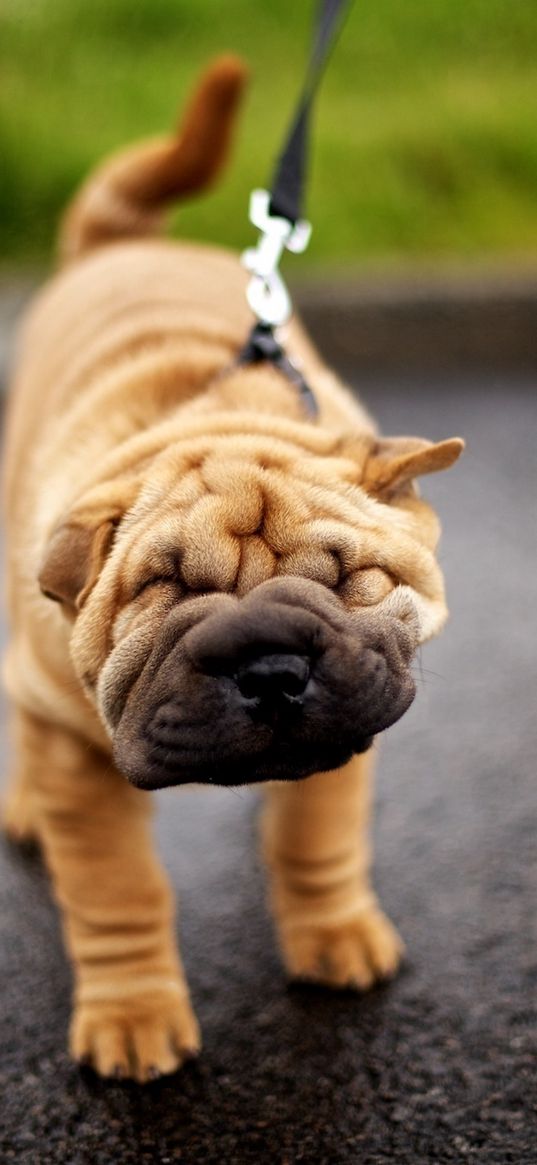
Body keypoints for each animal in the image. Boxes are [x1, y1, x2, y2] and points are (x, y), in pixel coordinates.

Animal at [2, 59, 461, 1081]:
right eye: (163, 594)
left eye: (346, 578)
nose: (271, 666)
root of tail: (121, 243)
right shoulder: (75, 755)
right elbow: (118, 892)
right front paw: (133, 1020)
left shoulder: (351, 707)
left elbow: (316, 839)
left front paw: (337, 937)